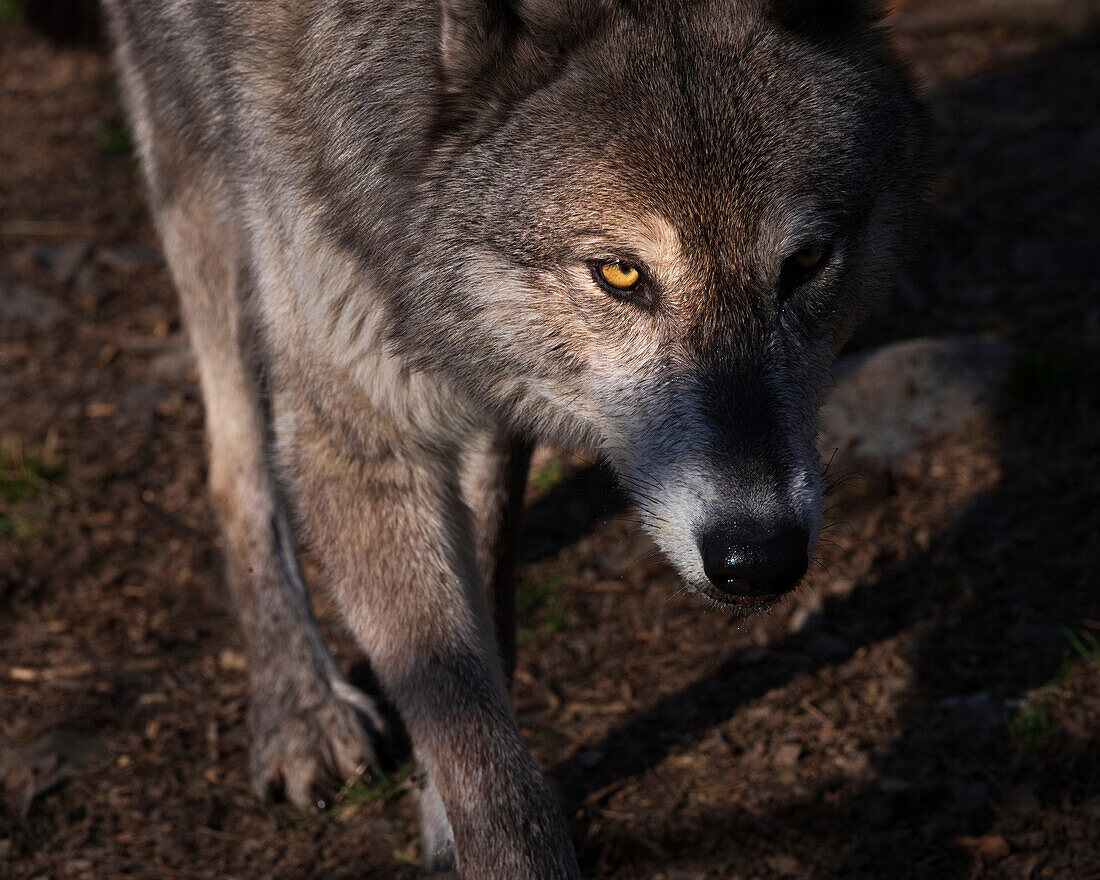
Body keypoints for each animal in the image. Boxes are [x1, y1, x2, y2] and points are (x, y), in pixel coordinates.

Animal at [103, 0, 928, 871]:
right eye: (621, 274)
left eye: (805, 262)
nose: (759, 556)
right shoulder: (361, 430)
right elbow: (476, 748)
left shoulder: (489, 384)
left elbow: (487, 609)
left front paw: (438, 809)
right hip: (206, 194)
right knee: (233, 460)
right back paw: (299, 712)